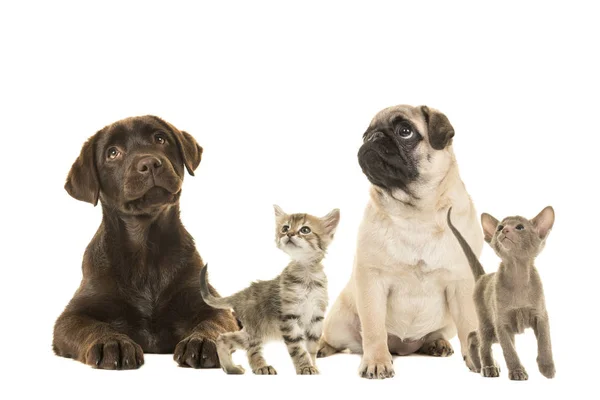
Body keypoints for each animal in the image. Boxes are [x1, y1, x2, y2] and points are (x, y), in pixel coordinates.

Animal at [199, 206, 340, 376]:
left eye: (305, 230)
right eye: (285, 228)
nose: (289, 234)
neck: (307, 276)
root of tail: (241, 293)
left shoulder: (316, 318)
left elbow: (311, 348)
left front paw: (313, 366)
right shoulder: (289, 319)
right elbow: (298, 349)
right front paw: (305, 367)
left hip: (257, 331)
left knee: (223, 338)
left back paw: (231, 368)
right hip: (257, 330)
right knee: (251, 350)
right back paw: (261, 366)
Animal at [318, 104, 482, 378]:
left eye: (405, 131)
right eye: (365, 135)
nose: (372, 138)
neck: (417, 213)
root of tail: (402, 348)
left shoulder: (462, 284)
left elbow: (470, 325)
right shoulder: (372, 282)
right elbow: (374, 329)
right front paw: (376, 361)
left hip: (447, 321)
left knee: (437, 334)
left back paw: (436, 343)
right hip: (339, 321)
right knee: (334, 337)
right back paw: (321, 348)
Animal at [448, 206, 556, 382]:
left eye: (520, 227)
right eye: (499, 227)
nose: (504, 230)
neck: (517, 273)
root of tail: (483, 276)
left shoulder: (540, 315)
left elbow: (545, 342)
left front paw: (547, 368)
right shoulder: (501, 323)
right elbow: (509, 351)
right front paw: (517, 371)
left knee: (474, 336)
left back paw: (477, 366)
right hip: (488, 325)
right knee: (479, 341)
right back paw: (487, 367)